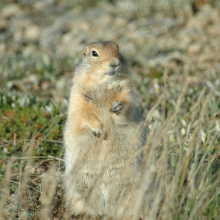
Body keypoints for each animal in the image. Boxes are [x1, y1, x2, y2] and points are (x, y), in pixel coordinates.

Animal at [63, 40, 148, 218]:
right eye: (94, 53)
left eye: (118, 50)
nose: (114, 63)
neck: (104, 85)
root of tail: (106, 209)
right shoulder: (78, 94)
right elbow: (84, 112)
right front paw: (98, 130)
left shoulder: (127, 90)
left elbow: (127, 107)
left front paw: (118, 107)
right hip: (79, 186)